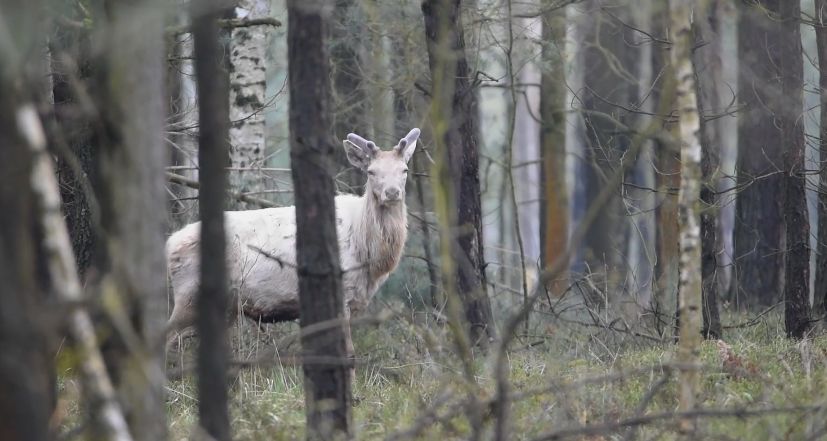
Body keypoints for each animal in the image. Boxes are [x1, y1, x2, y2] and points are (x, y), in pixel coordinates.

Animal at [165, 127, 420, 354]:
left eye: (405, 169)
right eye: (371, 171)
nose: (392, 193)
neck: (369, 257)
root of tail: (170, 244)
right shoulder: (341, 291)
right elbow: (348, 352)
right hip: (188, 294)